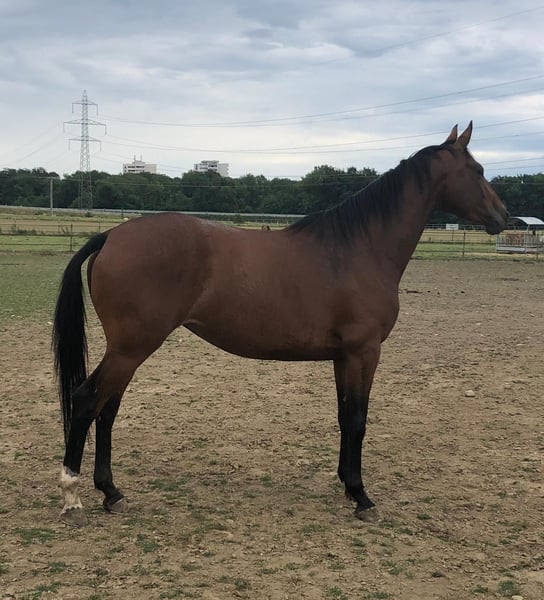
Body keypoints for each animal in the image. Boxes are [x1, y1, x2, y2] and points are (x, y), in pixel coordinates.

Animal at [53, 123, 508, 527]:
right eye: (479, 170)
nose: (505, 217)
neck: (357, 248)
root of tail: (112, 236)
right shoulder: (364, 352)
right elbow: (358, 419)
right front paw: (361, 496)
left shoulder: (343, 357)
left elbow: (344, 416)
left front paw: (346, 484)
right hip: (131, 348)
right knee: (87, 401)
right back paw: (72, 498)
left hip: (128, 351)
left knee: (107, 409)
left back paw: (111, 493)